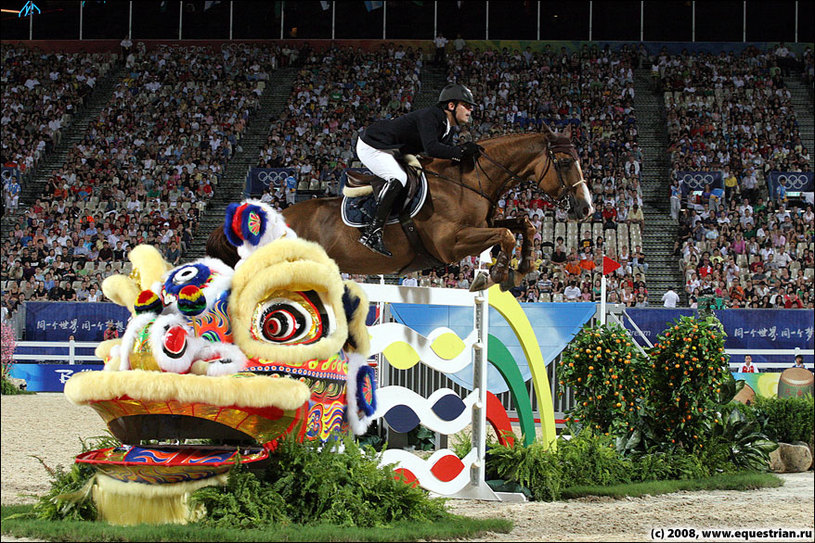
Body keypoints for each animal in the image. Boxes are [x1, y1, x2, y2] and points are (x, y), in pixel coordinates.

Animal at [207, 125, 596, 292]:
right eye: (564, 162)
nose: (587, 209)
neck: (469, 180)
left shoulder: (482, 225)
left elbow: (521, 225)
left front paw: (521, 268)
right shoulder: (450, 244)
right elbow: (505, 234)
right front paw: (496, 274)